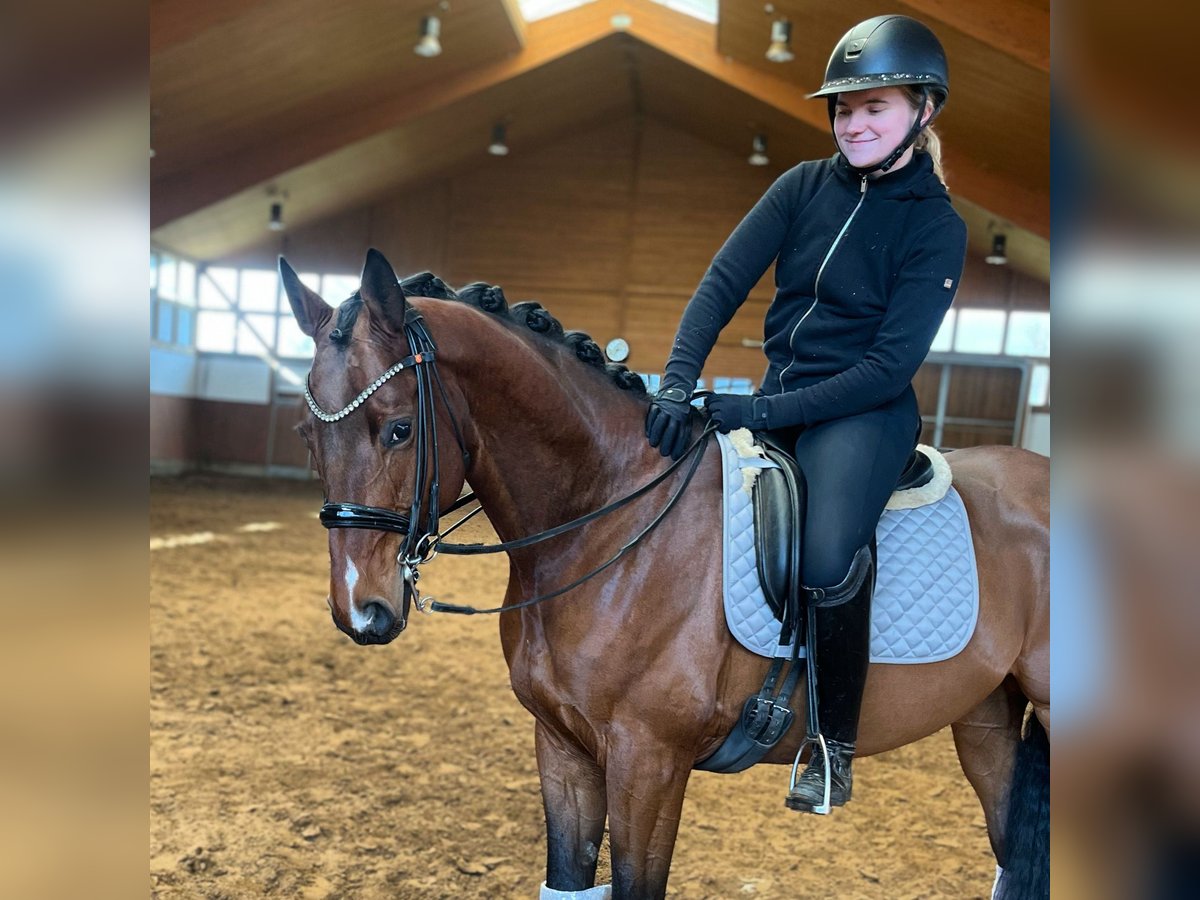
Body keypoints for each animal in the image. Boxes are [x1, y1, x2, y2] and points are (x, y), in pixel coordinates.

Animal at [280, 248, 1051, 900]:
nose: (361, 610)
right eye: (307, 435)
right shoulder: (563, 749)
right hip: (986, 720)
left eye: (399, 429)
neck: (605, 519)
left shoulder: (648, 763)